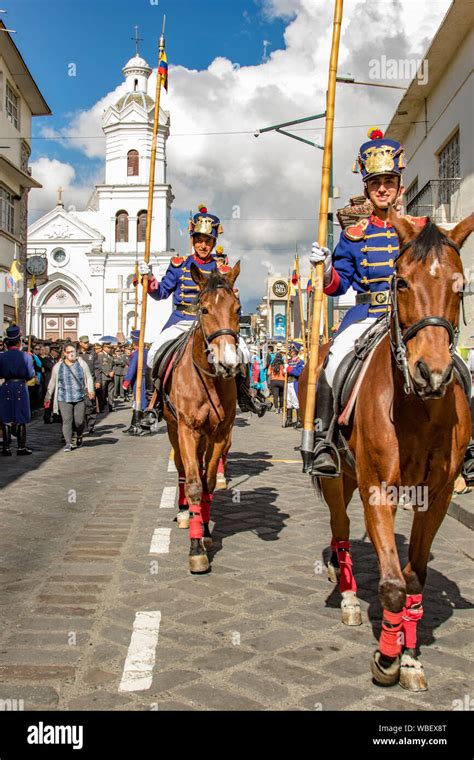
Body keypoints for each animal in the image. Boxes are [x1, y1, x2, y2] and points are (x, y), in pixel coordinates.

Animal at [165, 260, 243, 568]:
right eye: (205, 309)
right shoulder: (186, 429)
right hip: (173, 429)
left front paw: (206, 531)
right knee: (182, 470)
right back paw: (184, 512)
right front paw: (196, 548)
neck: (208, 379)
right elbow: (195, 484)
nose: (228, 364)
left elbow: (208, 483)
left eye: (238, 309)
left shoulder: (220, 433)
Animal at [302, 211, 472, 692]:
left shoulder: (436, 495)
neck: (418, 408)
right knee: (341, 532)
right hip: (340, 478)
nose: (431, 372)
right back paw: (348, 597)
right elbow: (393, 582)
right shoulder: (378, 488)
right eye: (401, 282)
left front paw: (410, 656)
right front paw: (387, 658)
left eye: (460, 285)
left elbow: (414, 577)